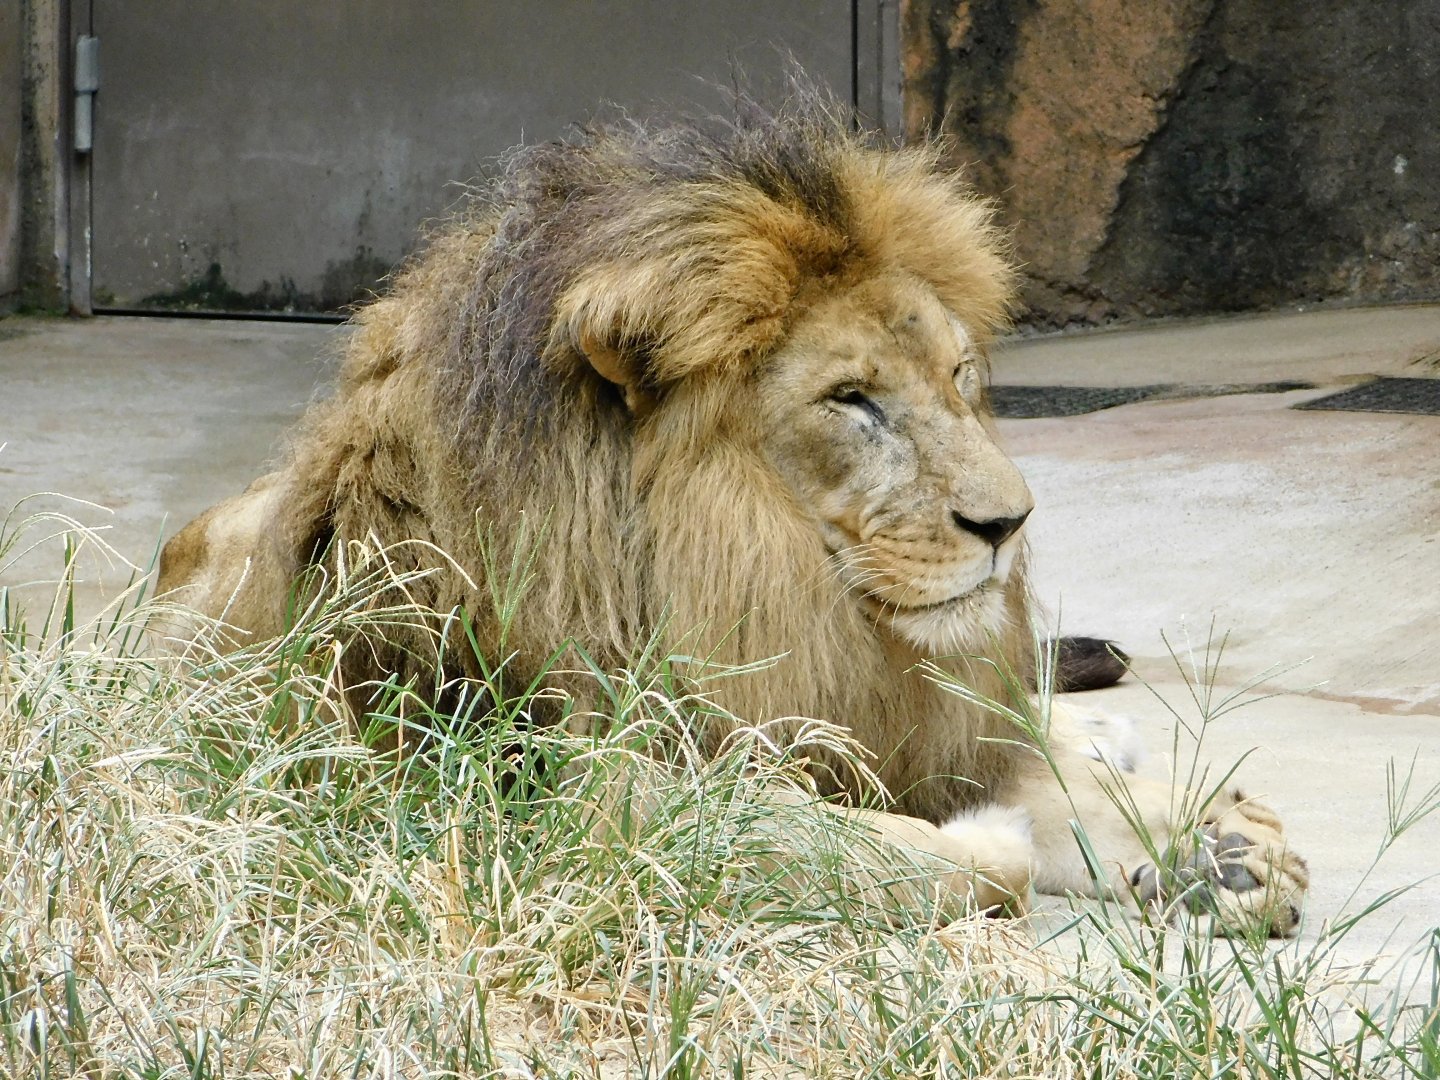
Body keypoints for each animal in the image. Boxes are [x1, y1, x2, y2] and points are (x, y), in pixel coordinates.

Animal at [157, 101, 1307, 933]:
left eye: (959, 376)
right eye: (851, 399)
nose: (1010, 524)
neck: (775, 584)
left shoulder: (891, 724)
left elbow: (1024, 782)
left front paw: (1218, 849)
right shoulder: (541, 795)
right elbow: (867, 850)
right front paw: (993, 843)